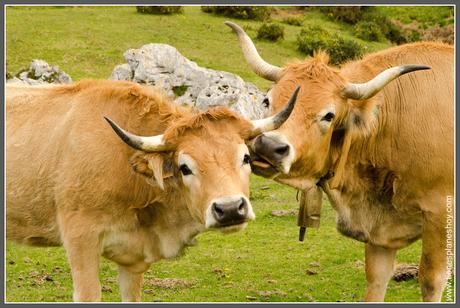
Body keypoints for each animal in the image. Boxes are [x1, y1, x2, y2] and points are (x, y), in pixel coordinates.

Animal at [226, 22, 452, 304]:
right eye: (267, 100)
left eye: (329, 115)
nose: (268, 146)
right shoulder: (379, 230)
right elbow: (376, 277)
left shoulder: (439, 213)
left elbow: (432, 280)